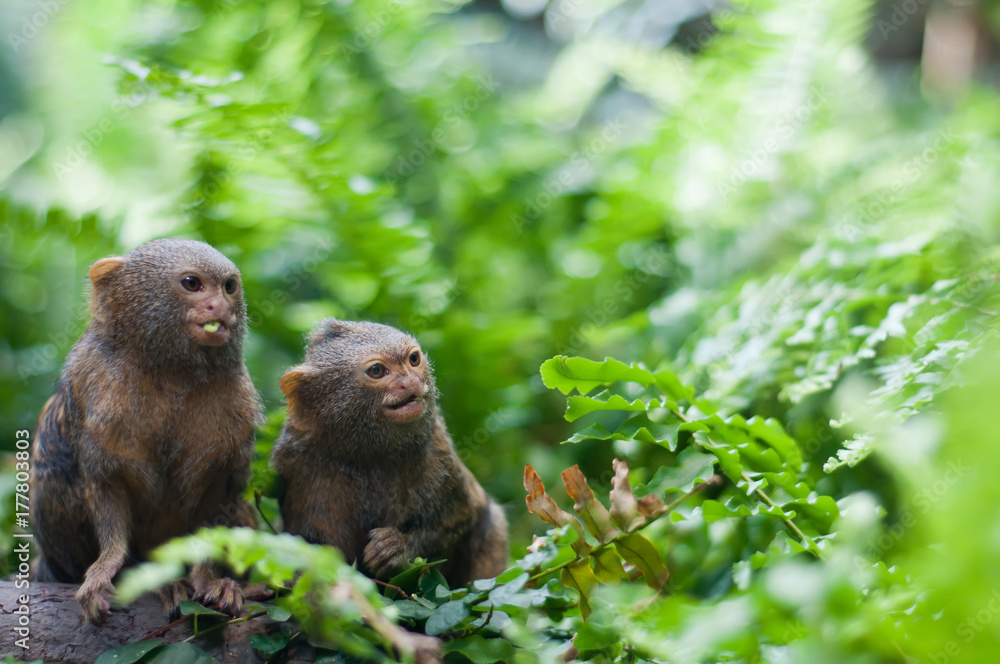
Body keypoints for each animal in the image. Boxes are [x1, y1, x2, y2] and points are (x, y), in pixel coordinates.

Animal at [30, 238, 263, 625]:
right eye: (192, 284)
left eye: (229, 286)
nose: (220, 306)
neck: (172, 373)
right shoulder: (92, 387)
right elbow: (105, 488)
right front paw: (107, 568)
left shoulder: (236, 406)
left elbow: (220, 496)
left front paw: (211, 580)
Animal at [271, 319, 508, 588]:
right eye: (377, 371)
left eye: (413, 359)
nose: (411, 381)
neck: (367, 455)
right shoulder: (295, 463)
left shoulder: (441, 457)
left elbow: (459, 517)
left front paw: (396, 548)